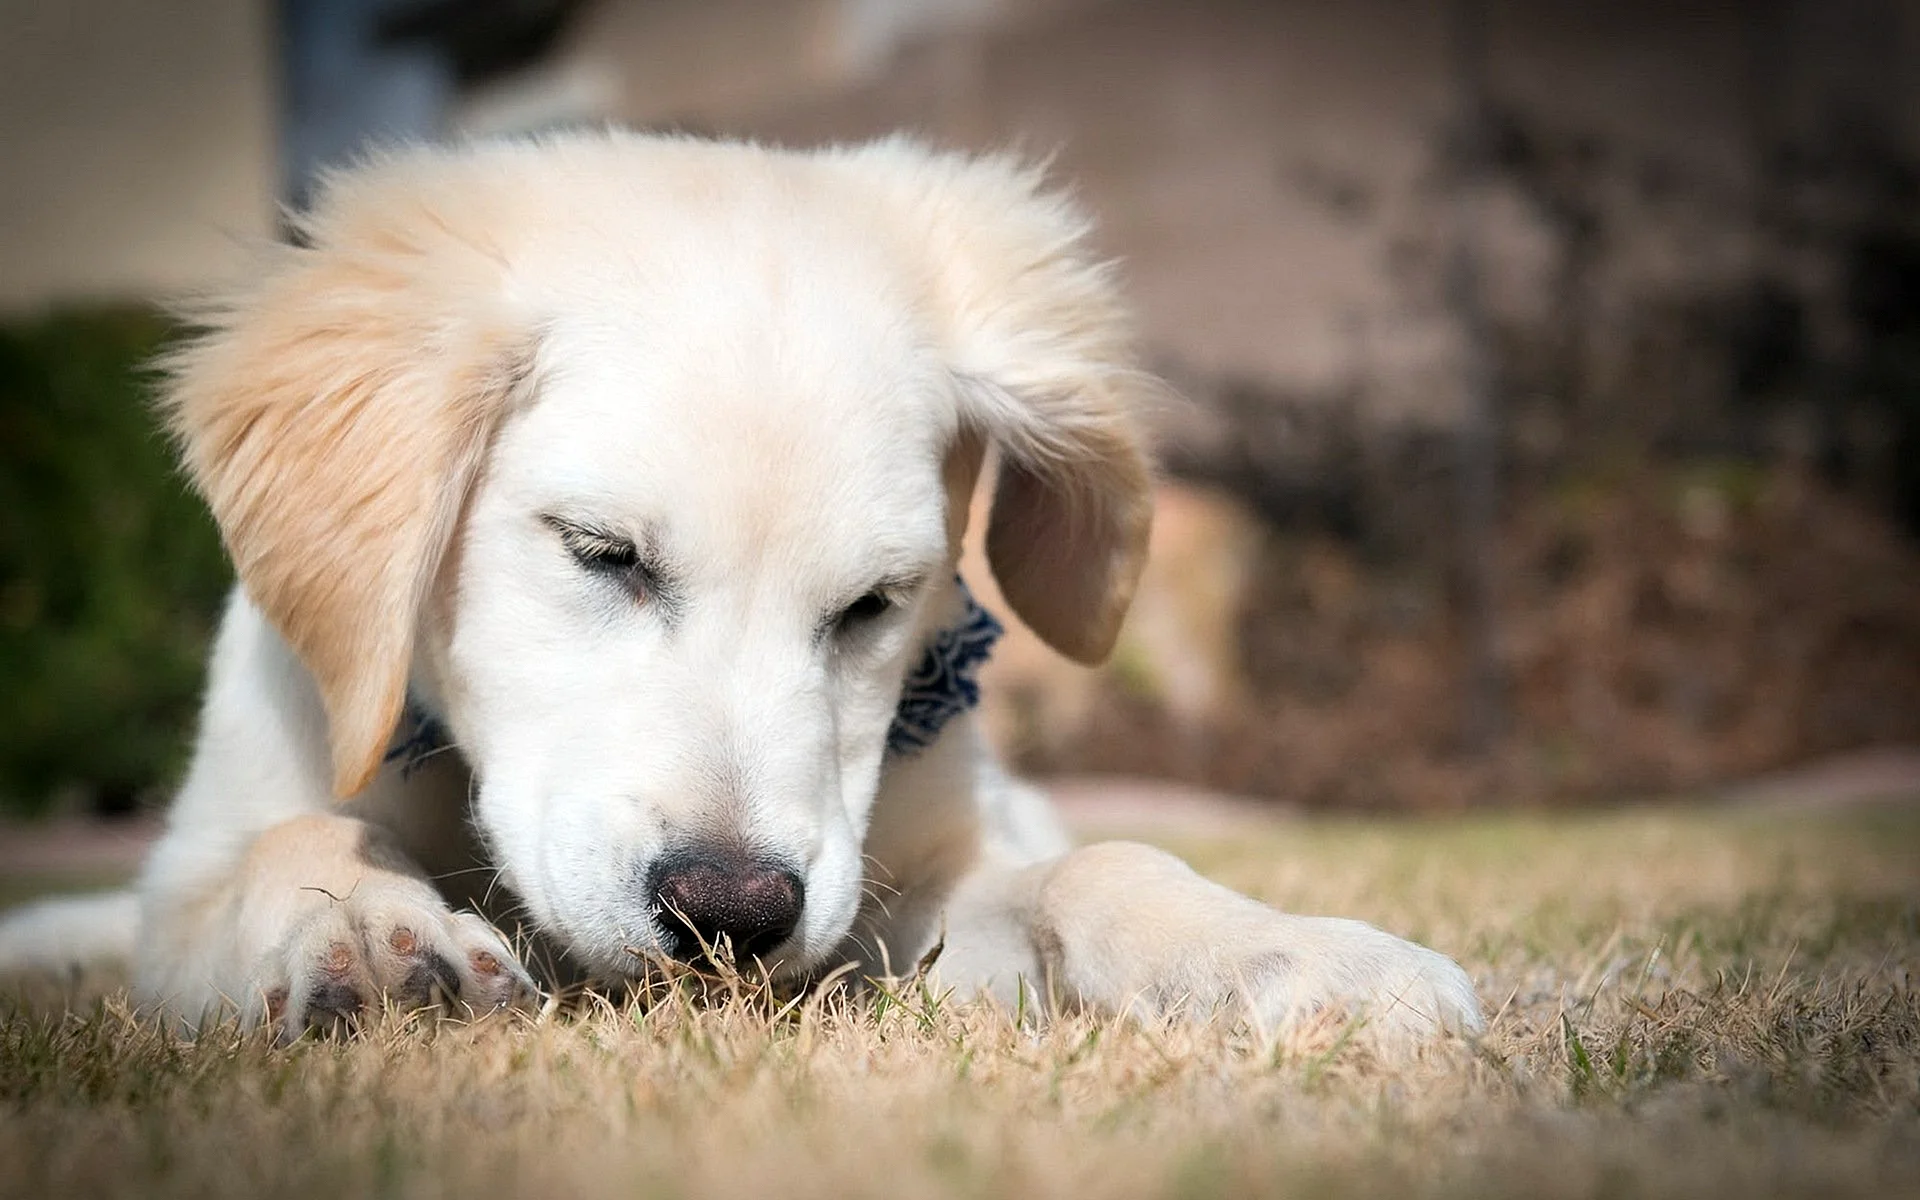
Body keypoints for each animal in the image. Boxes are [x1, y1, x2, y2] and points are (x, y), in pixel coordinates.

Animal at [0, 133, 1482, 1036]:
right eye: (599, 551)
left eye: (877, 603)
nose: (730, 917)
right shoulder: (203, 858)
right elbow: (286, 846)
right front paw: (362, 932)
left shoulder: (908, 883)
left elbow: (1103, 862)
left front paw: (1281, 952)